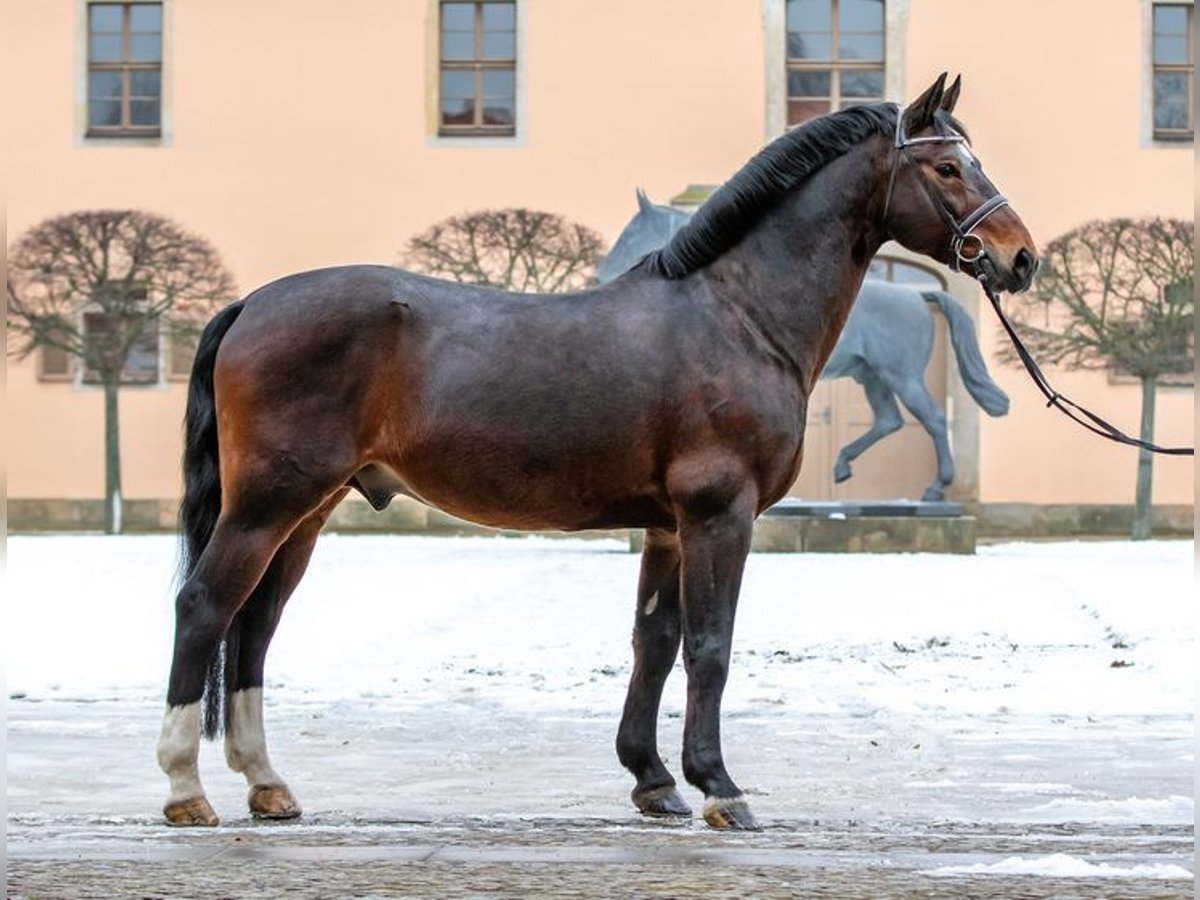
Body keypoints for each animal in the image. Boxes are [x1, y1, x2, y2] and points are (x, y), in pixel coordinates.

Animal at [595, 194, 1008, 501]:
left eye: (631, 234)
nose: (601, 274)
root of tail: (920, 295)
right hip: (872, 377)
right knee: (888, 420)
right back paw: (843, 466)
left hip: (899, 376)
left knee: (933, 419)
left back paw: (935, 489)